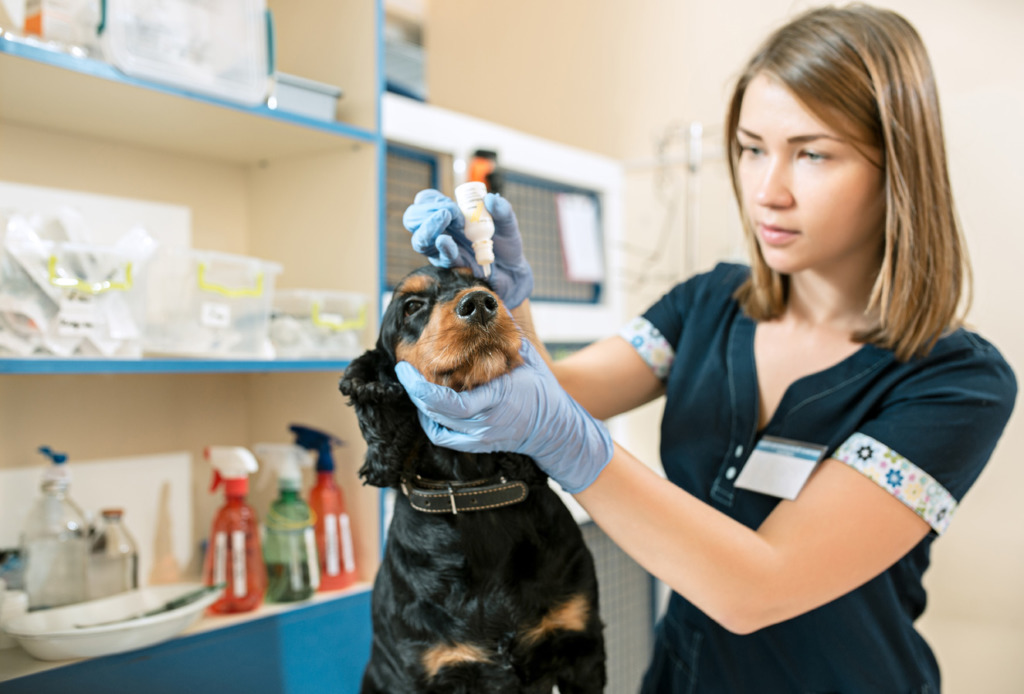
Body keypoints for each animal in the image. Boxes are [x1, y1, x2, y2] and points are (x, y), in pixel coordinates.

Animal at [339, 268, 602, 694]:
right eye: (412, 306)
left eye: (487, 285)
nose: (479, 303)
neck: (475, 493)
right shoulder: (422, 669)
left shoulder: (582, 647)